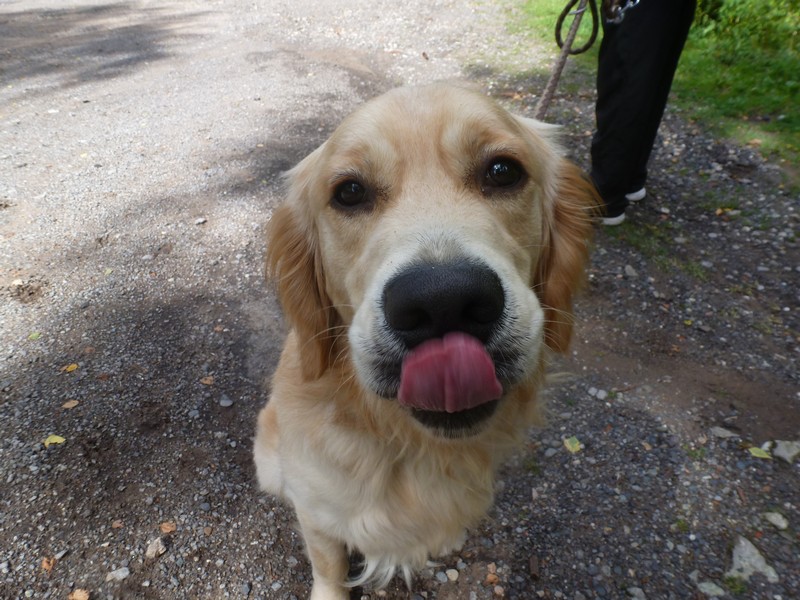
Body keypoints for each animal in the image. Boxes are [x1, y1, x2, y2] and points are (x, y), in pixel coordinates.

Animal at [253, 82, 596, 596]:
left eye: (503, 171)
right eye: (349, 192)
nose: (442, 300)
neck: (410, 444)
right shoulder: (316, 511)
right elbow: (329, 566)